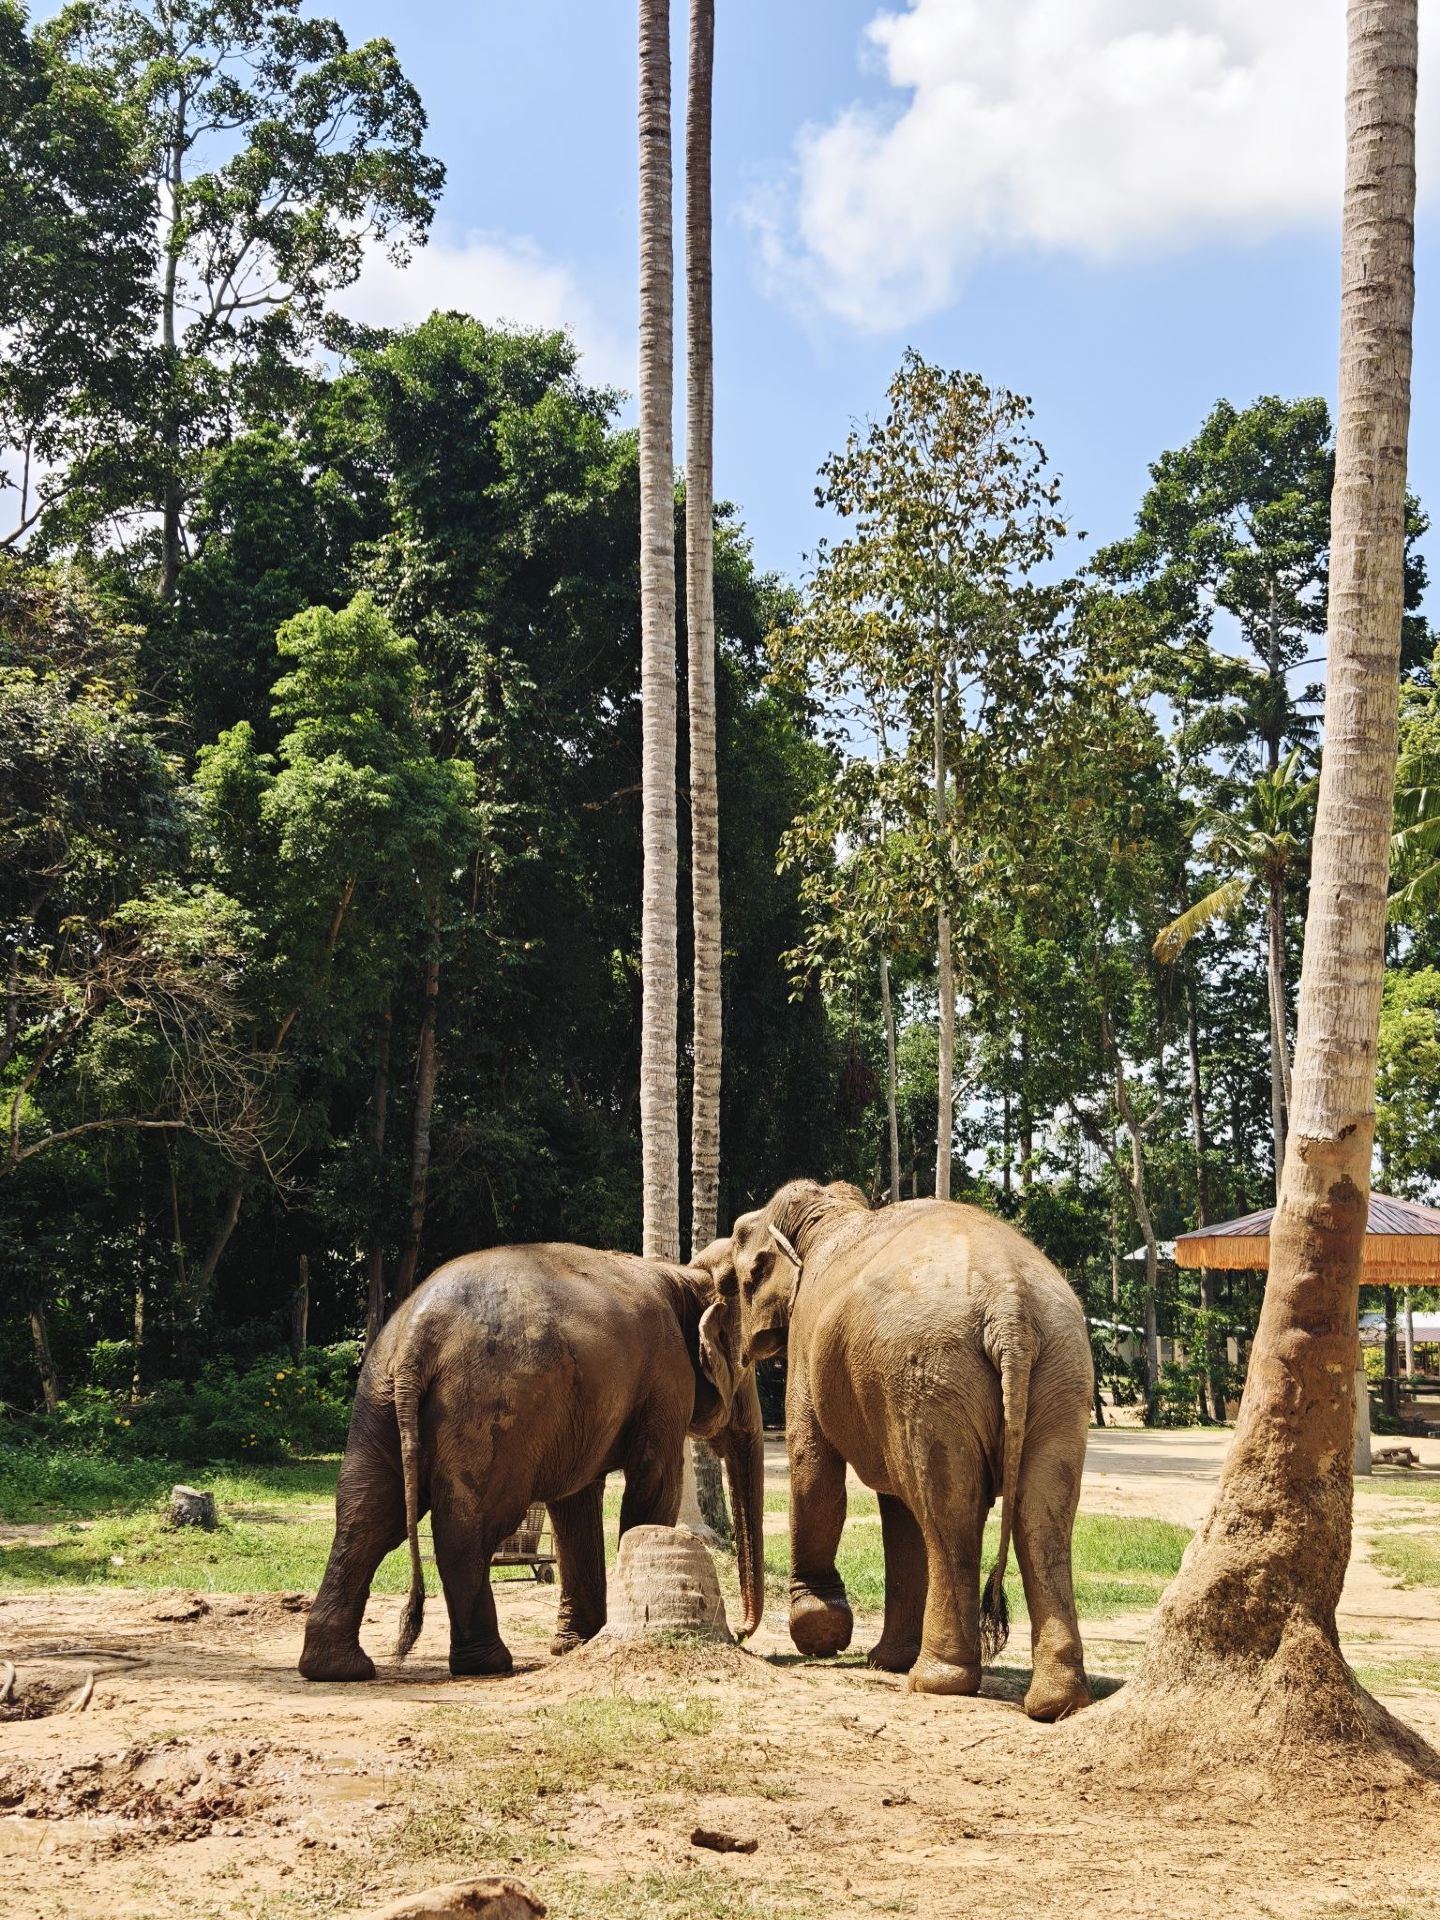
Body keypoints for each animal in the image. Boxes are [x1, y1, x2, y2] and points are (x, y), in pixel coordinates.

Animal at [298, 1242, 765, 1683]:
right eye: (747, 1364)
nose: (743, 1634)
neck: (684, 1275)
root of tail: (417, 1336)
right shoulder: (667, 1379)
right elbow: (652, 1486)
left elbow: (576, 1505)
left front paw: (574, 1646)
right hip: (489, 1408)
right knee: (470, 1525)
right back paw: (488, 1663)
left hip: (377, 1397)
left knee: (366, 1515)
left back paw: (337, 1669)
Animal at [699, 1179, 1093, 1721]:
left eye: (729, 1284)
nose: (740, 1633)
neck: (825, 1214)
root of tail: (1009, 1306)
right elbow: (897, 1508)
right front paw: (883, 1659)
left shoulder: (807, 1343)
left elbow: (814, 1473)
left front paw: (821, 1632)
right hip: (1057, 1371)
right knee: (1041, 1515)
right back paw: (1057, 1703)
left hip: (931, 1375)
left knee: (949, 1513)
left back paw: (935, 1682)